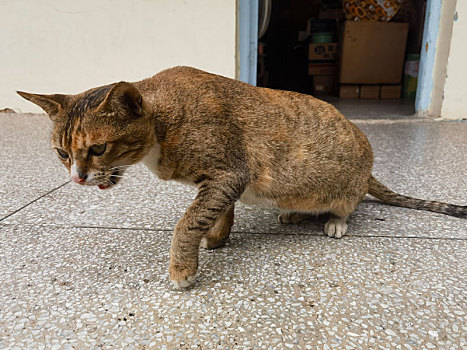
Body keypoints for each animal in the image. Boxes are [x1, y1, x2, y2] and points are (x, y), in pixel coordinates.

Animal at [16, 65, 466, 288]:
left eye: (97, 149)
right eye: (61, 153)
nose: (77, 178)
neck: (162, 125)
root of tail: (370, 167)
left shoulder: (228, 172)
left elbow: (187, 222)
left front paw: (182, 268)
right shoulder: (224, 182)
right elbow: (217, 213)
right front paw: (216, 236)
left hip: (348, 186)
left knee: (348, 205)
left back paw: (335, 220)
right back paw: (294, 213)